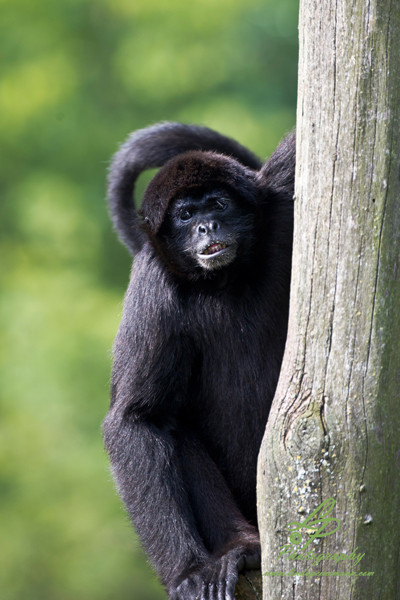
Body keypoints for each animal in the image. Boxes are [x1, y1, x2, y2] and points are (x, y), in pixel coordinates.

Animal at [103, 123, 296, 600]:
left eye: (218, 204)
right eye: (186, 215)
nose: (208, 226)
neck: (223, 280)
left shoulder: (281, 201)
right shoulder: (153, 288)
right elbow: (137, 420)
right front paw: (187, 572)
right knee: (176, 429)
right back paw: (242, 547)